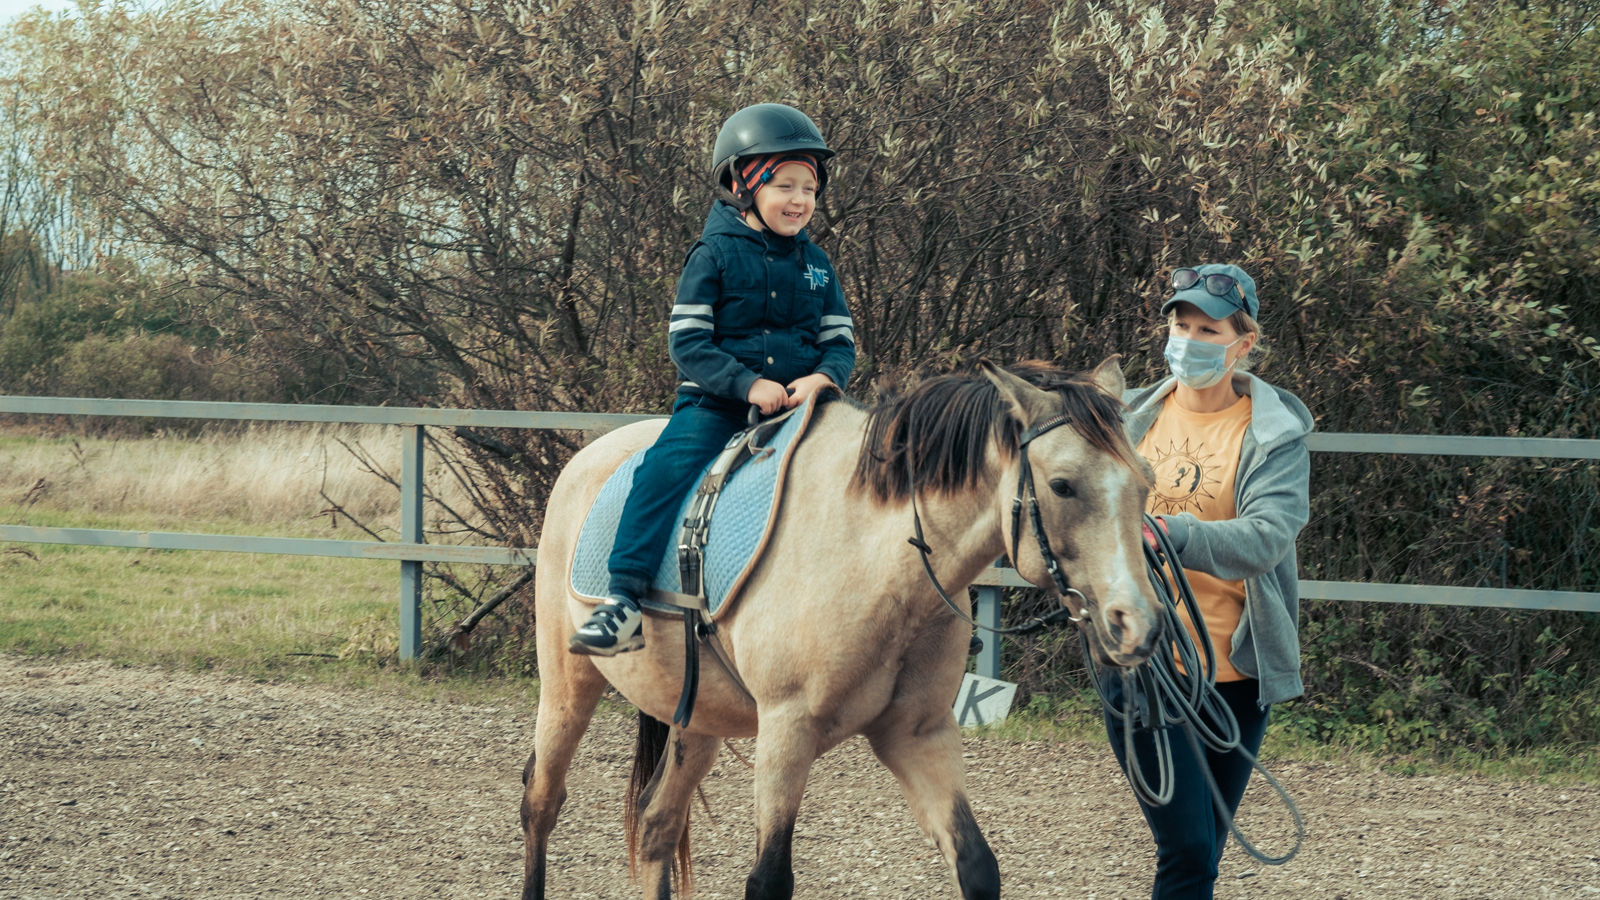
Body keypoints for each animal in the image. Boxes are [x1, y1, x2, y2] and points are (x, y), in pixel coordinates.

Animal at [524, 357, 1164, 896]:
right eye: (1062, 485)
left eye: (1145, 482)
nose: (1138, 623)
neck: (874, 556)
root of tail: (592, 455)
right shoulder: (786, 734)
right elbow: (769, 880)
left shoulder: (919, 734)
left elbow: (976, 864)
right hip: (568, 689)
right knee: (541, 802)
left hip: (697, 719)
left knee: (657, 823)